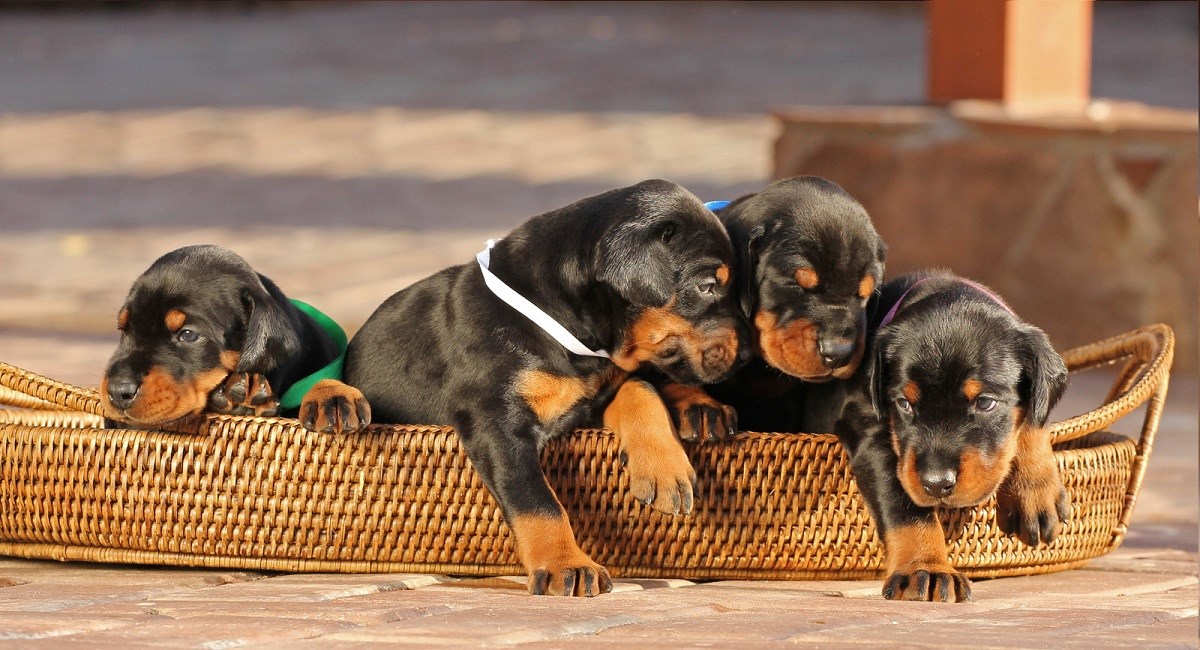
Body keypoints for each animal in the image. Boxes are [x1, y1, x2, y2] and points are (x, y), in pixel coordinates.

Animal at [300, 181, 744, 599]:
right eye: (707, 286)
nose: (743, 356)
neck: (561, 326)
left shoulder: (592, 396)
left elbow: (641, 391)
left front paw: (666, 470)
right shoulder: (496, 422)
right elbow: (536, 499)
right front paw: (566, 565)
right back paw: (332, 401)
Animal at [835, 271, 1070, 606]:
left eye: (985, 403)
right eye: (904, 403)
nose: (936, 483)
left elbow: (1031, 418)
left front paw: (1034, 491)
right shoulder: (864, 423)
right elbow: (903, 504)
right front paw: (925, 567)